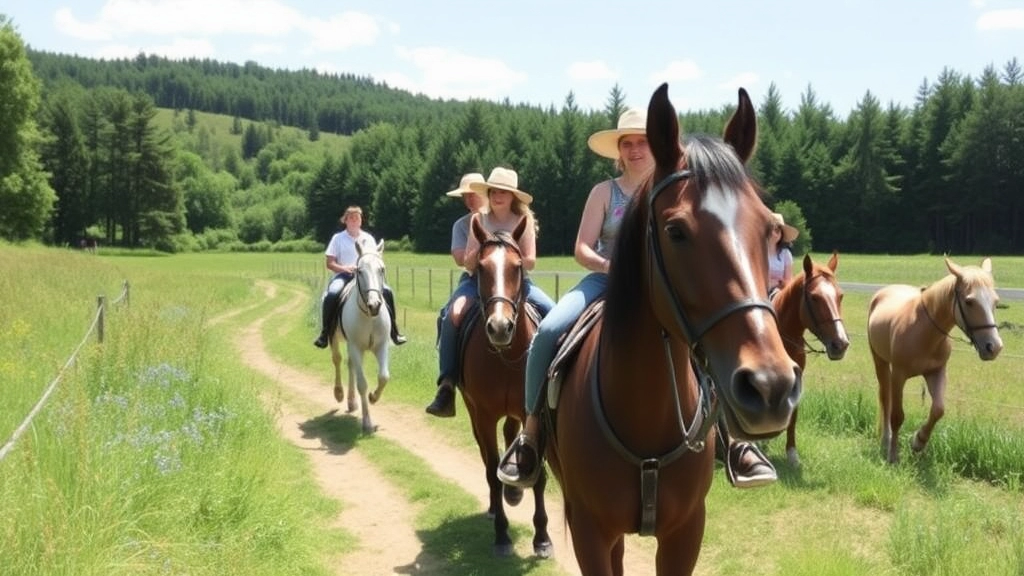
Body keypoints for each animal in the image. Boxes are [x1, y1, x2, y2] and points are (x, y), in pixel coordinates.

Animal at [327, 237, 391, 430]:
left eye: (381, 269)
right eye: (359, 271)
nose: (375, 305)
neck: (369, 317)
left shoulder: (381, 346)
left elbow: (384, 377)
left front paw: (373, 397)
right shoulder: (355, 346)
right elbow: (362, 384)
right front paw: (367, 422)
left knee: (350, 365)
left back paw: (351, 401)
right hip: (335, 339)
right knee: (337, 360)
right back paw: (339, 393)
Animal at [460, 216, 552, 557]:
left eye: (517, 266)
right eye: (481, 267)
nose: (500, 327)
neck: (507, 357)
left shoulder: (530, 413)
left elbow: (538, 475)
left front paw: (542, 538)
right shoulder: (485, 416)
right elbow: (490, 470)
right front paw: (501, 534)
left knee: (511, 436)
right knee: (488, 457)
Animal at [864, 255, 999, 461]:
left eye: (995, 301)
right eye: (969, 301)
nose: (994, 347)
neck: (923, 330)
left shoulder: (936, 373)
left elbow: (938, 409)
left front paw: (918, 442)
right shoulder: (898, 376)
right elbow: (897, 416)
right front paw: (894, 456)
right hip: (880, 361)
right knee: (885, 398)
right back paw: (886, 441)